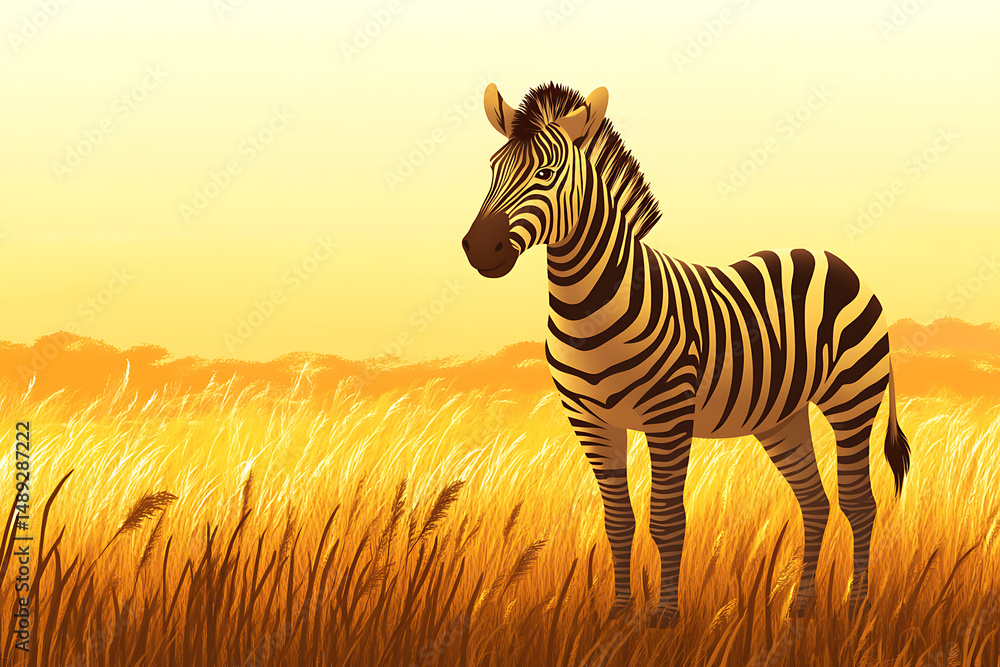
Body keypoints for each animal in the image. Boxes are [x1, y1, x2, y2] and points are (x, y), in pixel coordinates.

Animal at [460, 82, 911, 628]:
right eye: (491, 168)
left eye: (546, 174)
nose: (477, 248)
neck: (587, 307)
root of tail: (832, 258)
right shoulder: (590, 421)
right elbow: (618, 521)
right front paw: (619, 614)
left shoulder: (668, 415)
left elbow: (666, 519)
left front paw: (664, 617)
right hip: (781, 416)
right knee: (816, 502)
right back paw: (800, 606)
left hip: (853, 397)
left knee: (858, 503)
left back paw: (855, 604)